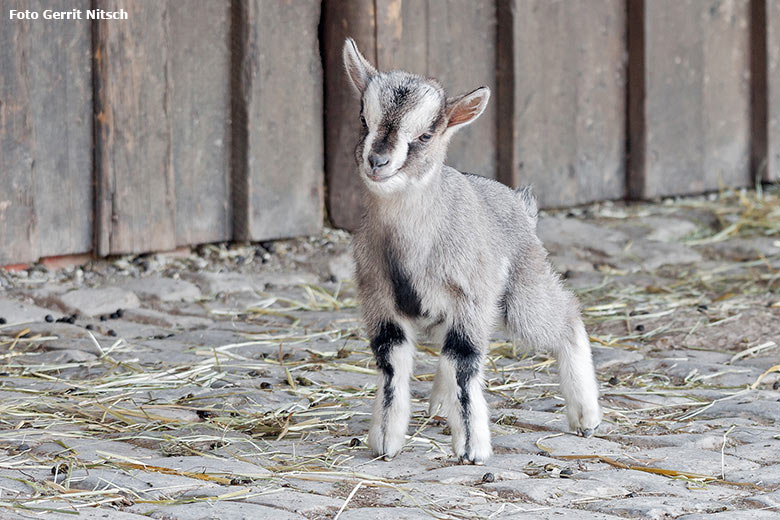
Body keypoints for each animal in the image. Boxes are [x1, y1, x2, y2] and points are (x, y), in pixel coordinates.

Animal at [344, 38, 600, 466]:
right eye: (363, 119)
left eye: (426, 135)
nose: (377, 162)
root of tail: (520, 205)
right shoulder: (378, 297)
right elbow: (392, 361)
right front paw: (385, 442)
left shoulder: (471, 295)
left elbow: (465, 361)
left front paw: (471, 448)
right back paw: (437, 406)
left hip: (522, 293)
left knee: (565, 317)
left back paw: (586, 416)